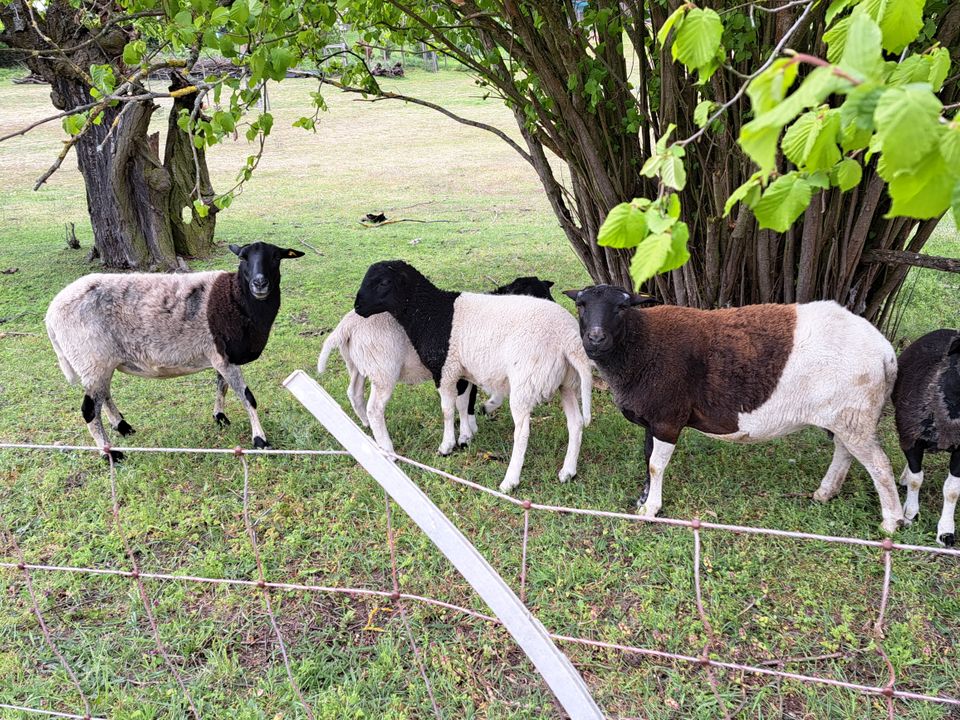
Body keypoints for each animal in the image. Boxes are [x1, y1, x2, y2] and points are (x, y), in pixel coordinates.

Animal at [46, 240, 304, 456]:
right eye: (243, 257)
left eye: (276, 257)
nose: (259, 284)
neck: (235, 296)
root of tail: (50, 314)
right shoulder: (224, 356)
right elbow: (247, 397)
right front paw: (260, 440)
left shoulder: (220, 355)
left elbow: (221, 386)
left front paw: (220, 417)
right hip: (91, 359)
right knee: (89, 410)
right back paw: (110, 454)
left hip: (101, 362)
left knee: (105, 396)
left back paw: (123, 427)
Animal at [316, 272, 556, 452]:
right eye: (536, 297)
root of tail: (346, 327)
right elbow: (470, 398)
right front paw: (472, 426)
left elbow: (468, 398)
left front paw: (471, 425)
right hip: (383, 369)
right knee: (375, 407)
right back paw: (387, 447)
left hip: (359, 365)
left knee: (354, 393)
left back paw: (366, 424)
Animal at [354, 262, 592, 492]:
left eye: (384, 282)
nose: (357, 307)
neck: (430, 311)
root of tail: (568, 339)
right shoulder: (463, 371)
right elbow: (462, 404)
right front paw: (466, 436)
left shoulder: (445, 369)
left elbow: (448, 410)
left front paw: (447, 446)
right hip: (567, 383)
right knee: (576, 423)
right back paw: (568, 471)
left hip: (526, 382)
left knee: (523, 432)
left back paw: (510, 481)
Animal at [564, 286, 908, 536]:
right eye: (581, 304)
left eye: (621, 308)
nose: (596, 338)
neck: (640, 345)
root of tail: (886, 352)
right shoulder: (653, 418)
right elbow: (648, 458)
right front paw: (644, 499)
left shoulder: (667, 418)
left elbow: (655, 466)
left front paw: (651, 510)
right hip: (847, 415)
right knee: (844, 452)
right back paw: (826, 492)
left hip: (854, 415)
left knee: (879, 466)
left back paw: (892, 522)